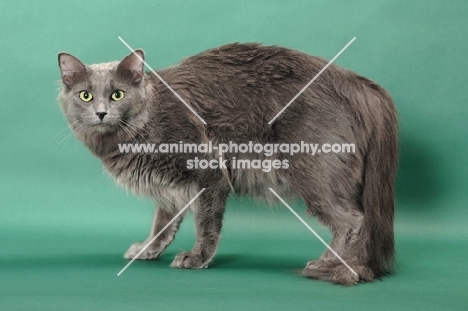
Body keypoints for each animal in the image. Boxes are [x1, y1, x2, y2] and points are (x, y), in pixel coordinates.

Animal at [56, 42, 396, 286]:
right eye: (85, 96)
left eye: (117, 94)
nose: (101, 112)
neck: (140, 128)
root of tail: (358, 83)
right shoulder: (168, 185)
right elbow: (162, 223)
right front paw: (148, 250)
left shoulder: (208, 174)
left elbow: (206, 224)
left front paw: (197, 258)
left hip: (314, 172)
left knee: (353, 220)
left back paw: (333, 267)